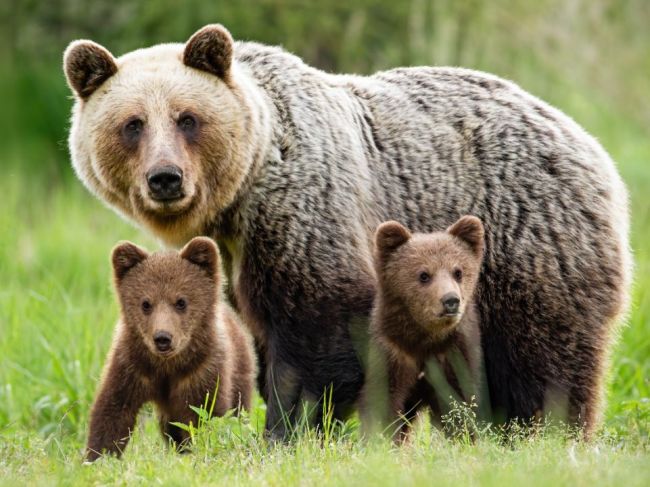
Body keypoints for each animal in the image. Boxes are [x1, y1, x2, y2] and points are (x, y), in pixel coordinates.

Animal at [64, 24, 628, 440]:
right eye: (133, 124)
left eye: (187, 118)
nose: (166, 178)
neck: (240, 200)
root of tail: (588, 143)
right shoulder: (240, 259)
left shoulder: (306, 215)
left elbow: (318, 332)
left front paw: (286, 432)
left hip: (528, 244)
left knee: (544, 360)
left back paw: (543, 433)